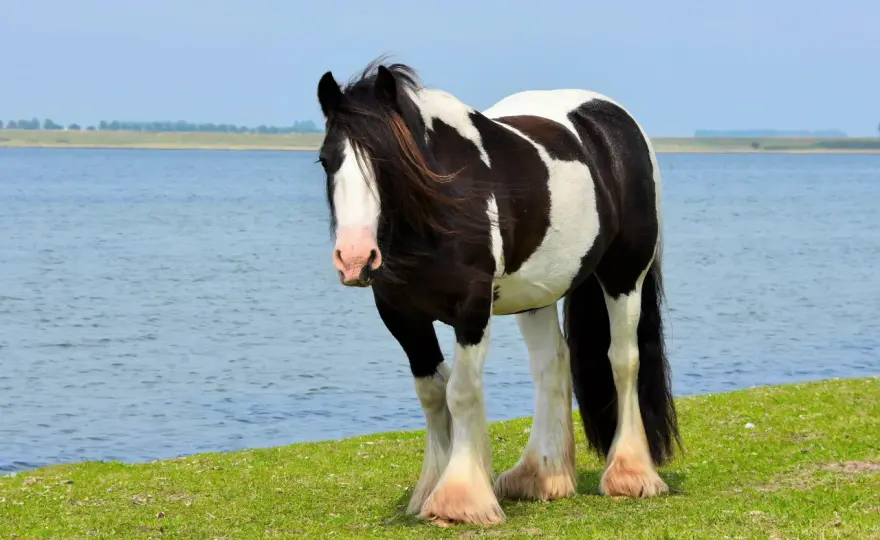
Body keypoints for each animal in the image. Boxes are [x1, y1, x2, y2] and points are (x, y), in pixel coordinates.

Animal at [314, 58, 680, 526]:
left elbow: (460, 392)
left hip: (624, 275)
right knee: (552, 365)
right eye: (326, 160)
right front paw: (432, 488)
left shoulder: (471, 309)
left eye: (387, 159)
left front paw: (460, 498)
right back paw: (539, 476)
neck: (442, 202)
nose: (355, 258)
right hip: (537, 293)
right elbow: (432, 393)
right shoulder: (401, 315)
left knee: (622, 360)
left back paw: (630, 474)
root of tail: (612, 120)